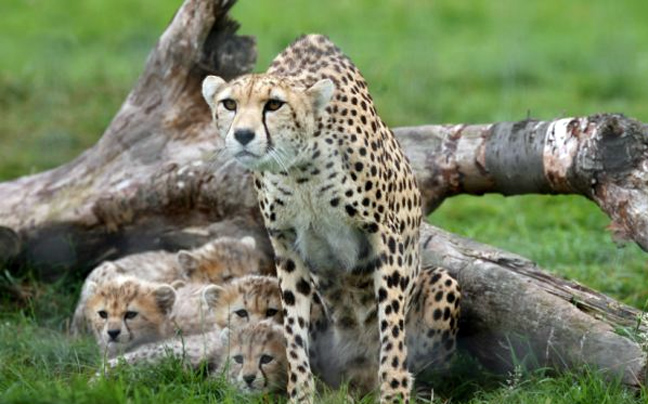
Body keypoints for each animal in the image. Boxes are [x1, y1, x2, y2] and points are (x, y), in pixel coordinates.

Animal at [202, 34, 423, 403]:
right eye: (229, 104)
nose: (243, 135)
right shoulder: (286, 246)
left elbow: (391, 327)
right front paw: (300, 393)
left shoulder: (384, 235)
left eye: (274, 105)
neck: (300, 168)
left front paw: (394, 392)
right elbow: (292, 330)